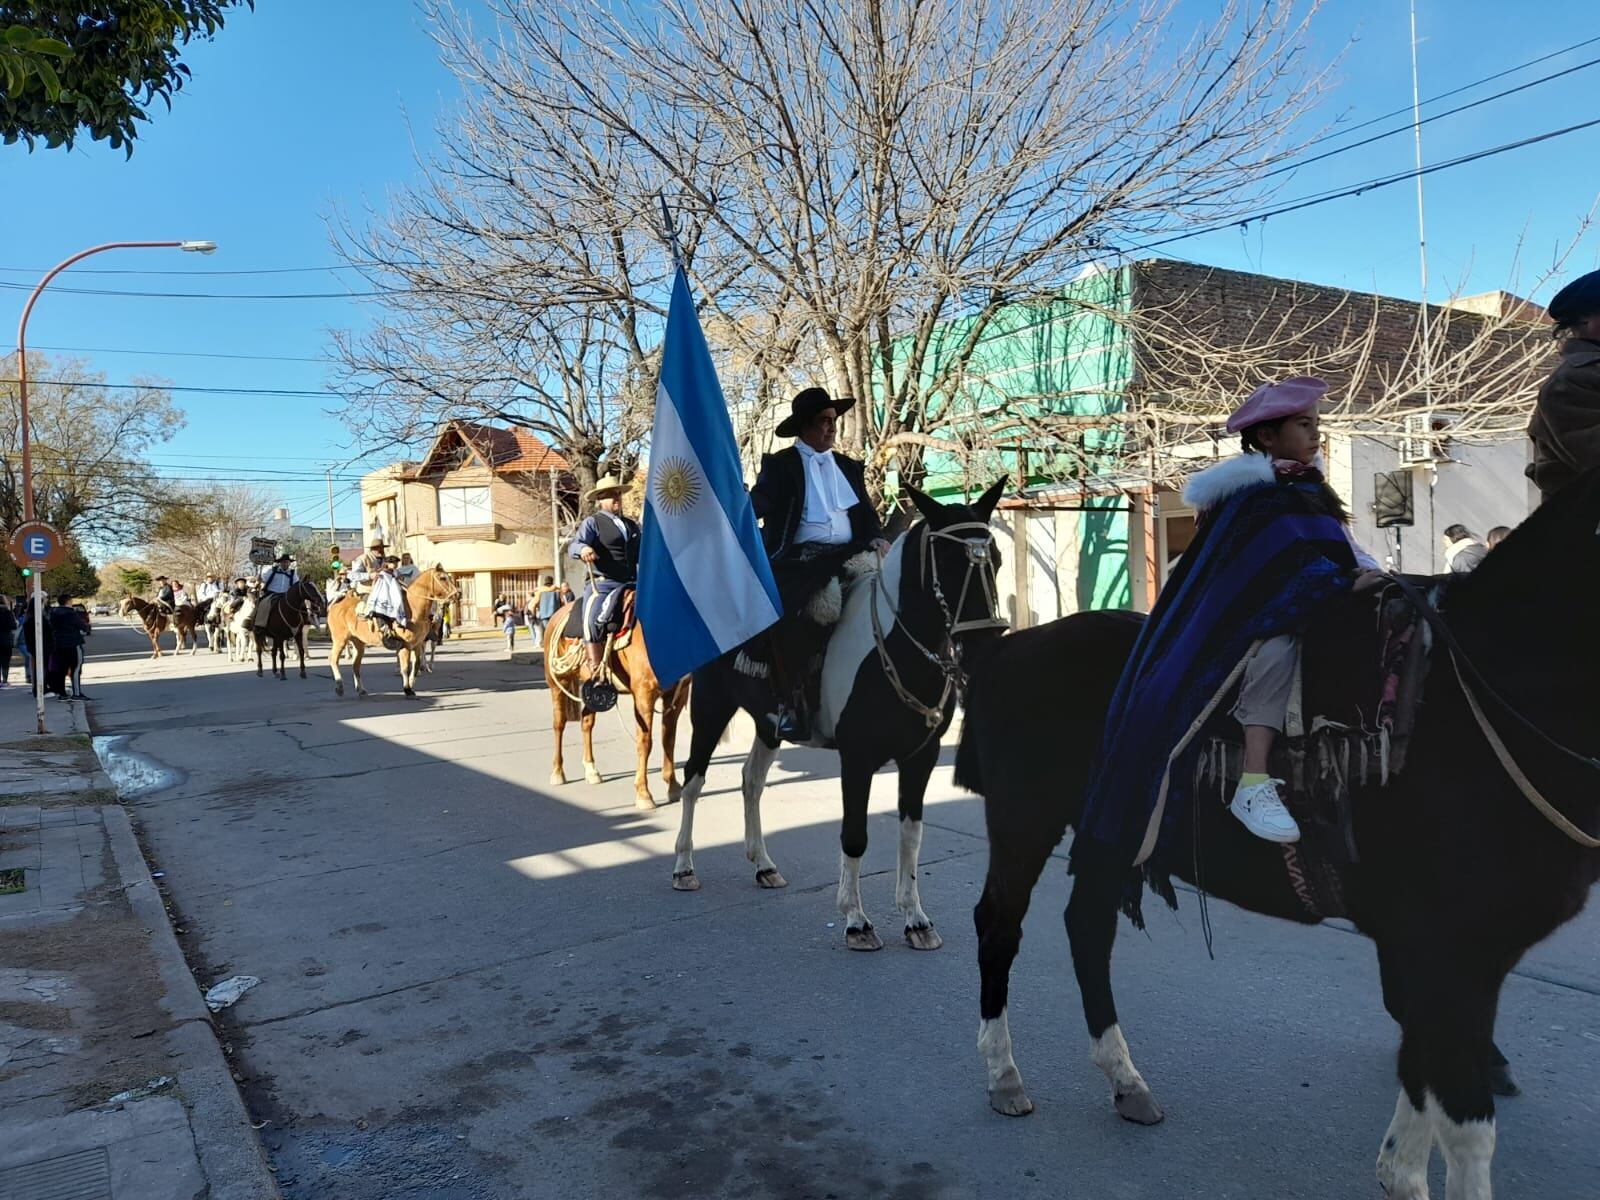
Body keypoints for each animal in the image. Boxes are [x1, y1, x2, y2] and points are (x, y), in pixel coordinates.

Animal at [321, 569, 454, 700]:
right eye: (442, 578)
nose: (456, 594)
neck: (413, 608)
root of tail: (336, 603)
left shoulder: (417, 644)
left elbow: (416, 665)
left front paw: (411, 684)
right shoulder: (405, 646)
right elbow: (405, 668)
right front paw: (407, 689)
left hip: (358, 642)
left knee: (355, 665)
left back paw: (361, 689)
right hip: (340, 640)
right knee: (333, 659)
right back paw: (340, 687)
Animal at [544, 598, 688, 812]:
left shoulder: (677, 695)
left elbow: (668, 740)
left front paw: (673, 786)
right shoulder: (644, 694)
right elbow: (645, 742)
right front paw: (643, 794)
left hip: (592, 691)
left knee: (586, 723)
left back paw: (591, 770)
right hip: (558, 682)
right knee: (559, 723)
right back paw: (557, 772)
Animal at [672, 483, 998, 953]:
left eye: (995, 560)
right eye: (951, 565)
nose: (985, 645)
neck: (894, 649)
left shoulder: (921, 757)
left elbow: (912, 836)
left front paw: (916, 919)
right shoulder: (857, 759)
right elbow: (855, 835)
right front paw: (856, 921)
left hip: (768, 726)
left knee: (751, 781)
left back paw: (763, 864)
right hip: (710, 708)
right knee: (693, 781)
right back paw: (683, 866)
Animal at [953, 470, 1593, 1200]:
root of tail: (1008, 646)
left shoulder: (1443, 957)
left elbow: (1422, 1077)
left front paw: (1399, 1172)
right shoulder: (1453, 954)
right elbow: (1465, 1124)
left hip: (1110, 833)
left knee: (1087, 927)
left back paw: (1126, 1081)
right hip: (1024, 823)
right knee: (1000, 927)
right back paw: (1005, 1075)